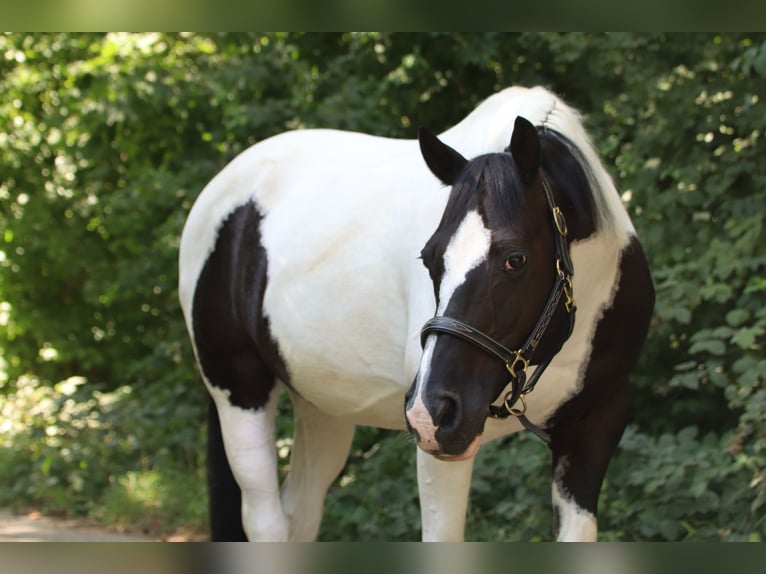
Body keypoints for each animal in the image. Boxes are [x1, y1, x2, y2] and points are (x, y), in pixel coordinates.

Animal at [178, 85, 654, 541]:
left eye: (515, 259)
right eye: (429, 258)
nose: (432, 408)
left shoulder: (596, 423)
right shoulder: (442, 449)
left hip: (323, 407)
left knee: (300, 515)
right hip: (239, 392)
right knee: (266, 521)